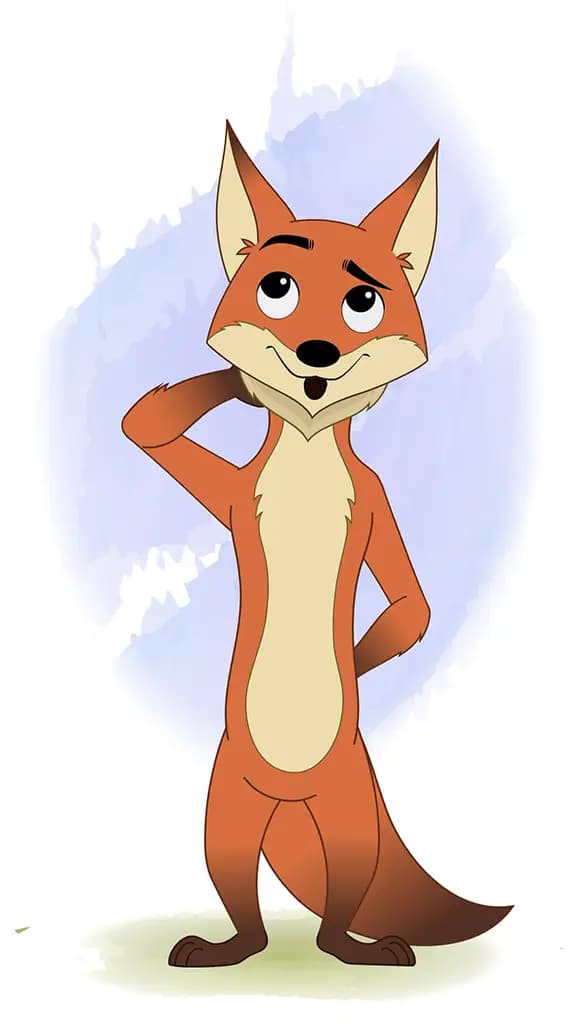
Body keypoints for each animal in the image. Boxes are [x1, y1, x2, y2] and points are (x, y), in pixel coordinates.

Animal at [121, 123, 512, 968]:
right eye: (277, 288)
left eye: (363, 301)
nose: (317, 352)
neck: (305, 456)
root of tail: (294, 796)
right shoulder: (234, 495)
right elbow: (144, 424)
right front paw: (240, 383)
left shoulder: (378, 506)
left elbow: (412, 604)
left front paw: (356, 667)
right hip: (229, 805)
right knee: (241, 890)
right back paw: (231, 947)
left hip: (349, 811)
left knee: (343, 897)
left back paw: (356, 946)